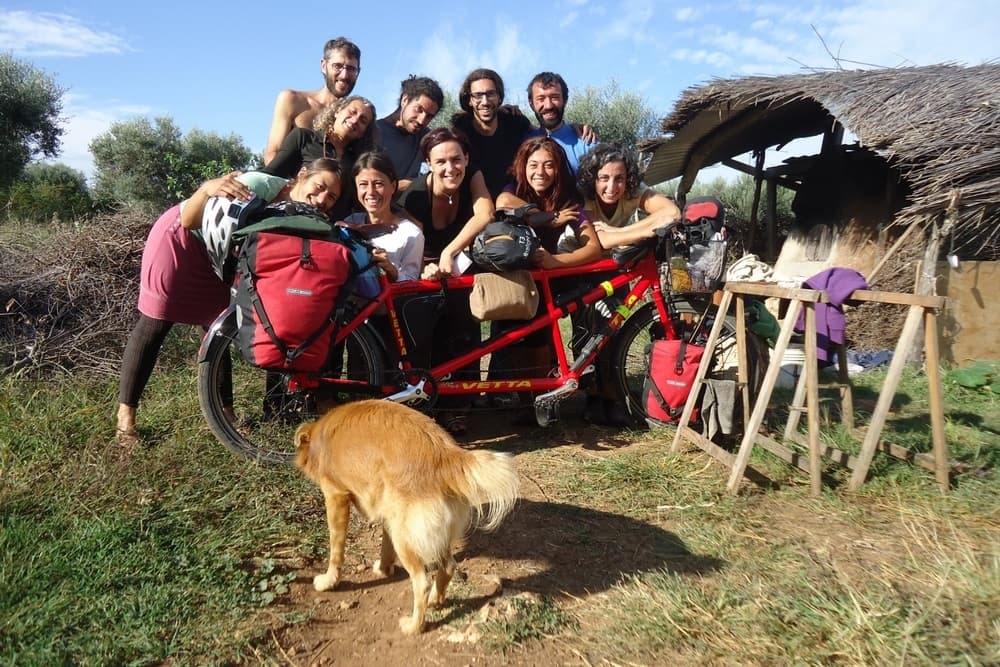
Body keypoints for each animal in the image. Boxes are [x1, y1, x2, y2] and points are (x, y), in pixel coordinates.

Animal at [294, 400, 516, 636]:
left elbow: (336, 550)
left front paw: (329, 581)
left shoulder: (335, 497)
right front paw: (384, 569)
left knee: (422, 582)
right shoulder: (386, 511)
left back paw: (414, 626)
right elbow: (385, 547)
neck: (321, 434)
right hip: (418, 528)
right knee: (448, 567)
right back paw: (436, 601)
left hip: (405, 538)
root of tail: (445, 455)